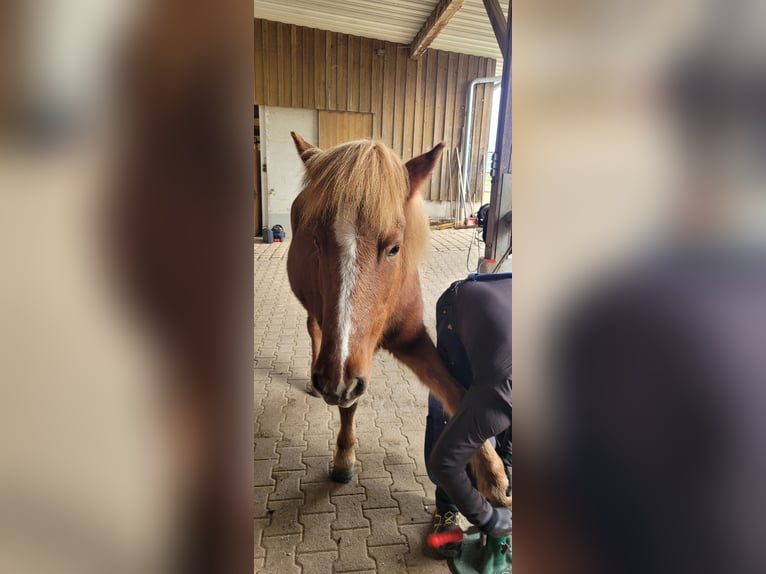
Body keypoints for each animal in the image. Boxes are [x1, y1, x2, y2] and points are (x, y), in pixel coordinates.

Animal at [286, 132, 510, 506]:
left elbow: (456, 391)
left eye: (394, 248)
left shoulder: (412, 340)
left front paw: (492, 473)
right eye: (316, 240)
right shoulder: (349, 363)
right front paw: (344, 457)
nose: (331, 381)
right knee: (314, 328)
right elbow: (350, 404)